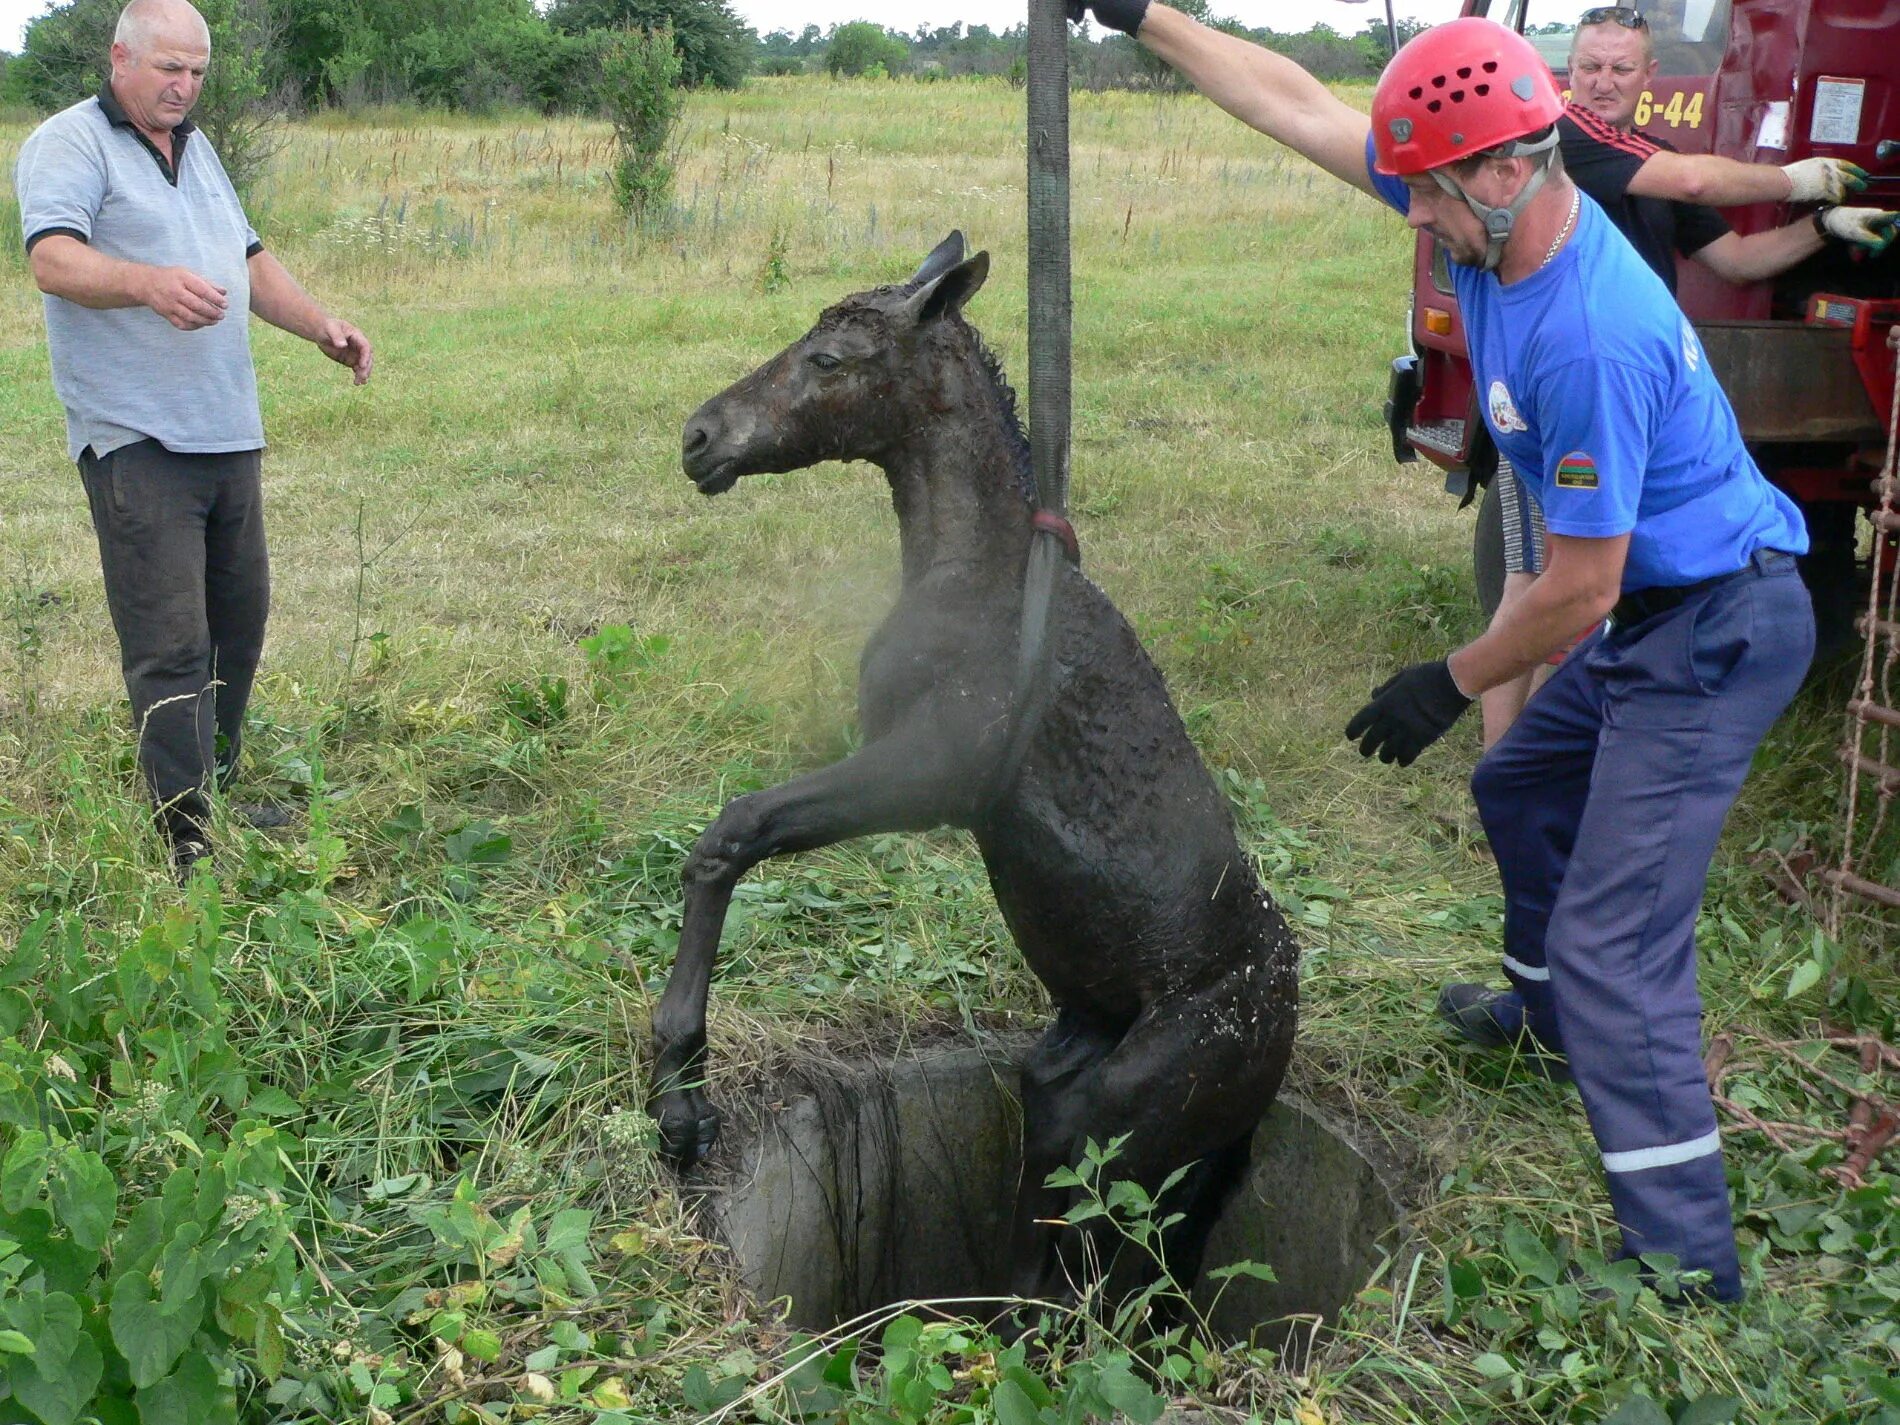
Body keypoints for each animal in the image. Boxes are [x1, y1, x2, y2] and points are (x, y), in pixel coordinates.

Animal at [649, 237, 1292, 1314]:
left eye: (830, 358)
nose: (701, 438)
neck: (976, 578)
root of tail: (1278, 1040)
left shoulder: (933, 775)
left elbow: (733, 832)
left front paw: (679, 1099)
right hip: (1068, 1092)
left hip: (1135, 1119)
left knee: (1101, 1280)